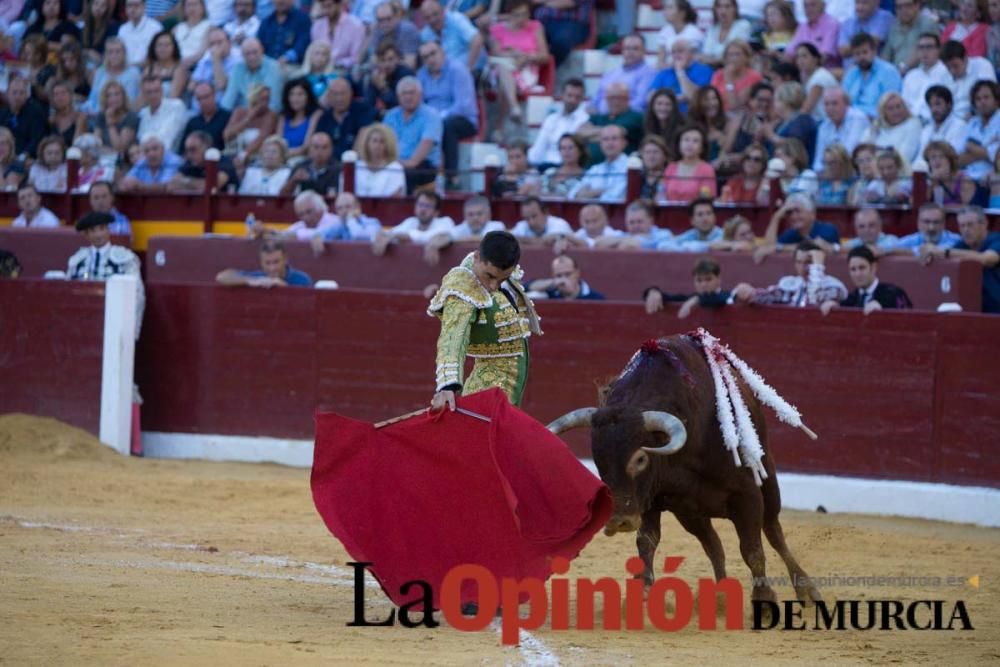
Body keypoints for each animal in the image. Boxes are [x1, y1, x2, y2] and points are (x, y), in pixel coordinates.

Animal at [548, 336, 820, 608]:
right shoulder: (651, 500)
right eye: (598, 458)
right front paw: (643, 591)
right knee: (714, 545)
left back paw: (806, 590)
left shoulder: (747, 495)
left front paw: (763, 598)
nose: (618, 521)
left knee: (774, 532)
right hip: (690, 513)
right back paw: (721, 597)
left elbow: (752, 549)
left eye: (641, 458)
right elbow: (646, 541)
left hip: (768, 482)